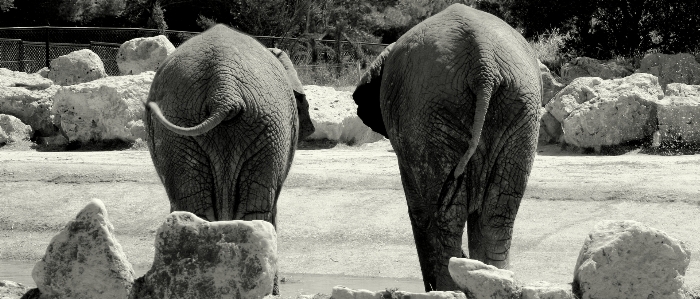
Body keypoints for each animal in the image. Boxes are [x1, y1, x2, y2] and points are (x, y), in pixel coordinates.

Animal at [356, 3, 540, 292]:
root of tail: (484, 62)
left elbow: (419, 210)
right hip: (517, 104)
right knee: (499, 211)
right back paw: (492, 279)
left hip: (432, 108)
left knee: (445, 213)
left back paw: (450, 286)